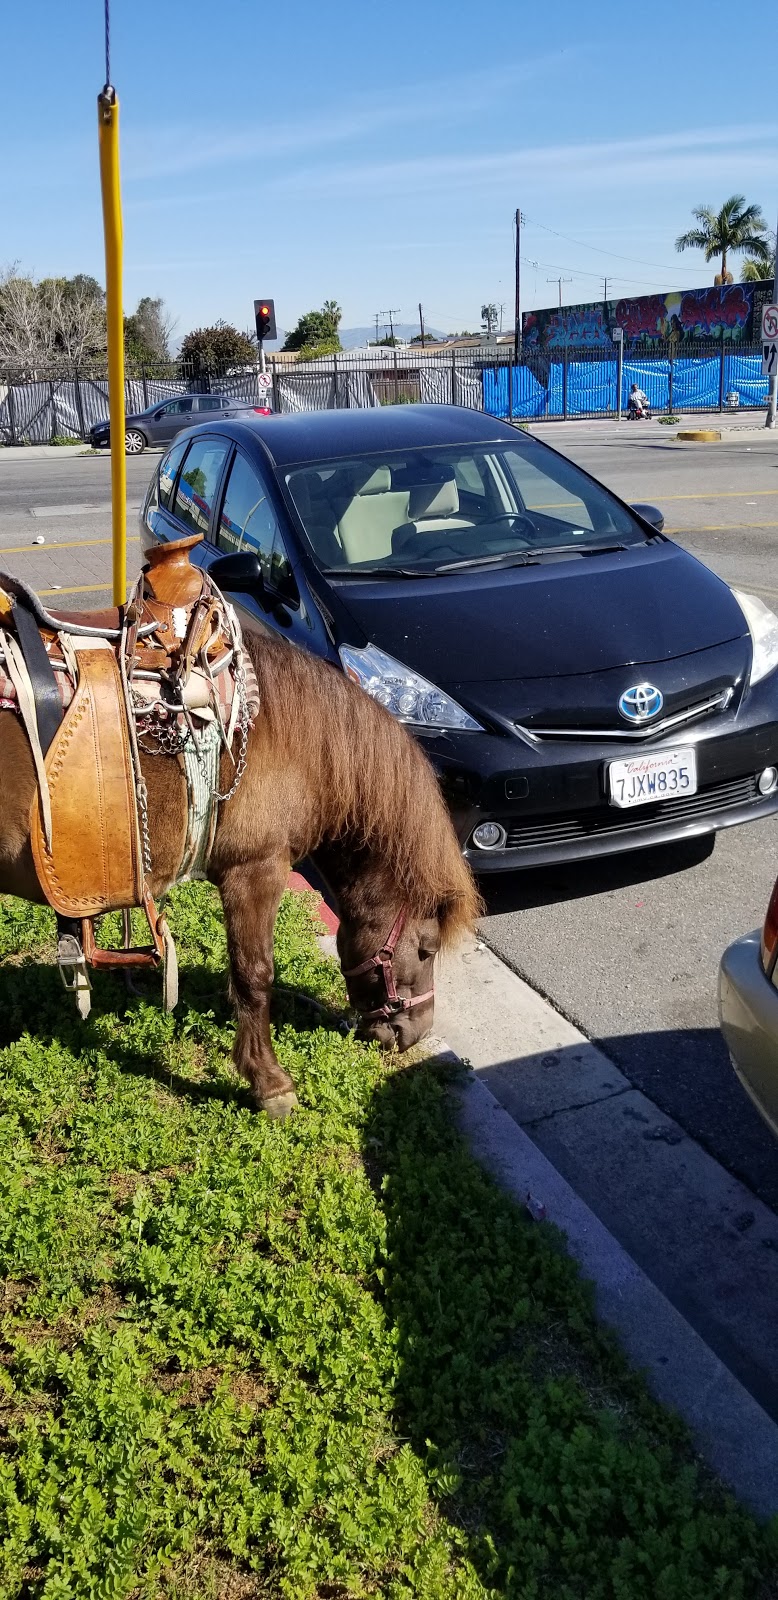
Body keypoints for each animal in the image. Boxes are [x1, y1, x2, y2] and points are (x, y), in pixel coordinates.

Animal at [0, 624, 480, 1113]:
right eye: (425, 950)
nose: (413, 1033)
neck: (295, 744)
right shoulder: (256, 871)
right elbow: (255, 975)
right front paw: (270, 1083)